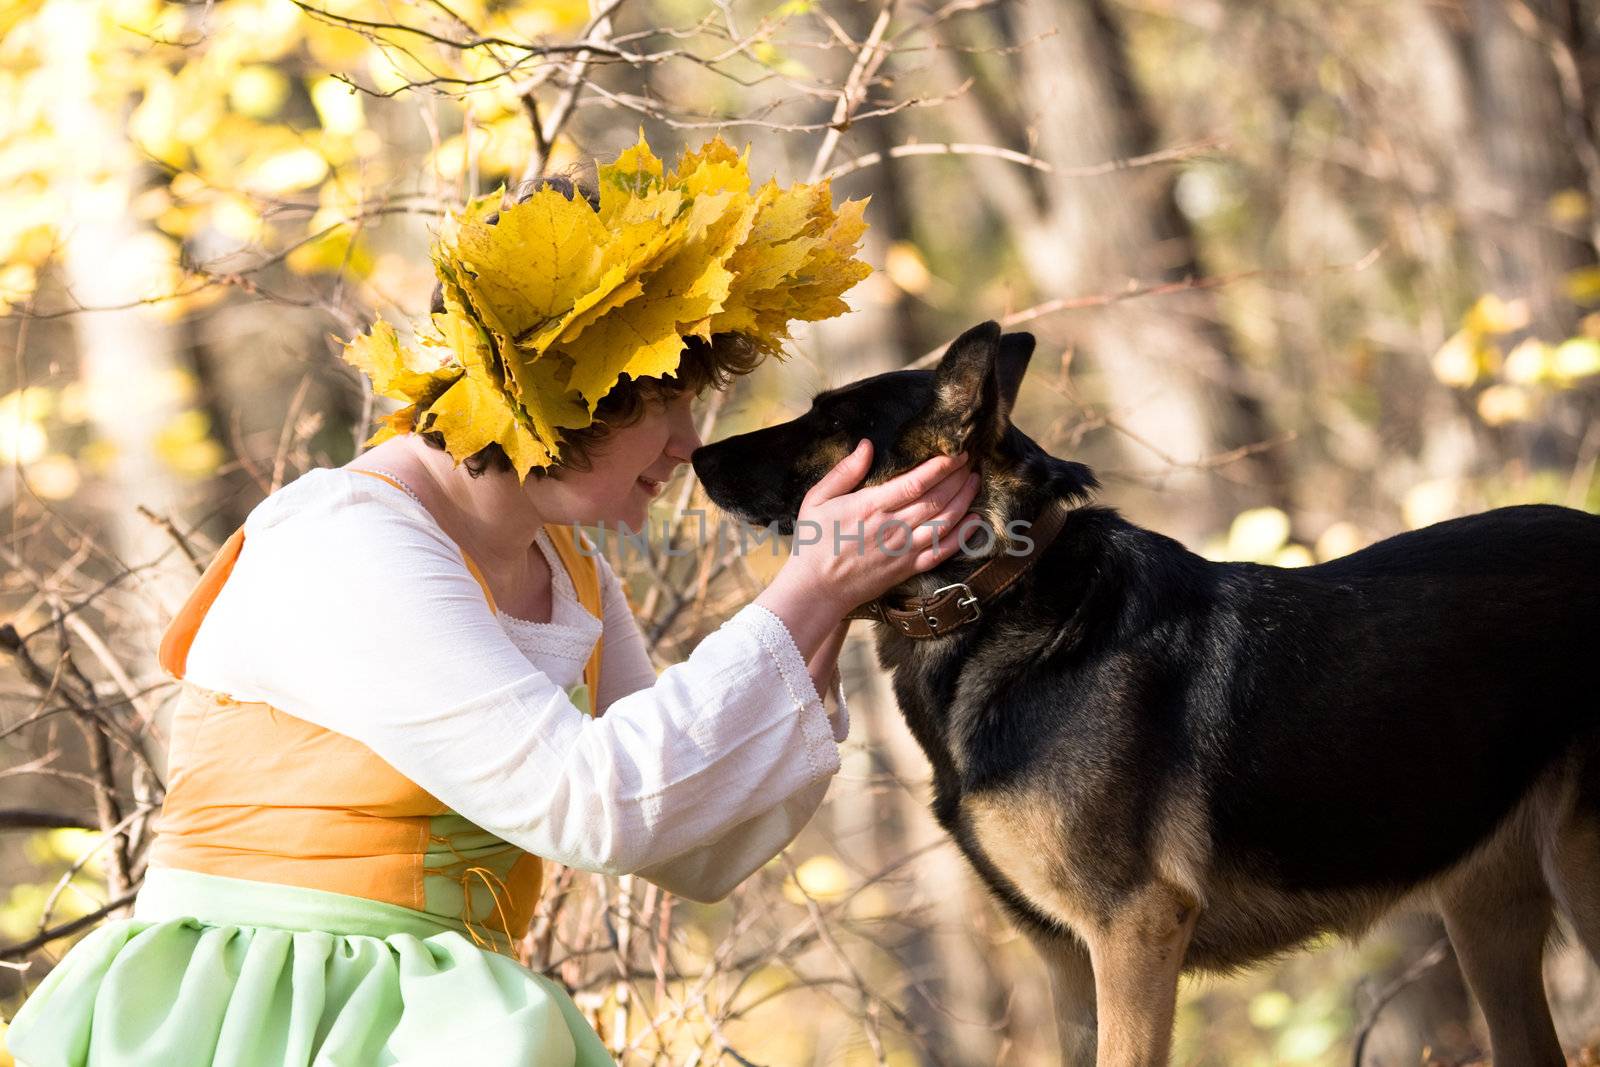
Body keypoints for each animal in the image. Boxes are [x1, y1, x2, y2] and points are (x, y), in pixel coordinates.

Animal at [691, 323, 1600, 1067]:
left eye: (830, 421)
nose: (694, 456)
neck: (1001, 593)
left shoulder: (1134, 932)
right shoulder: (1070, 964)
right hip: (1486, 921)